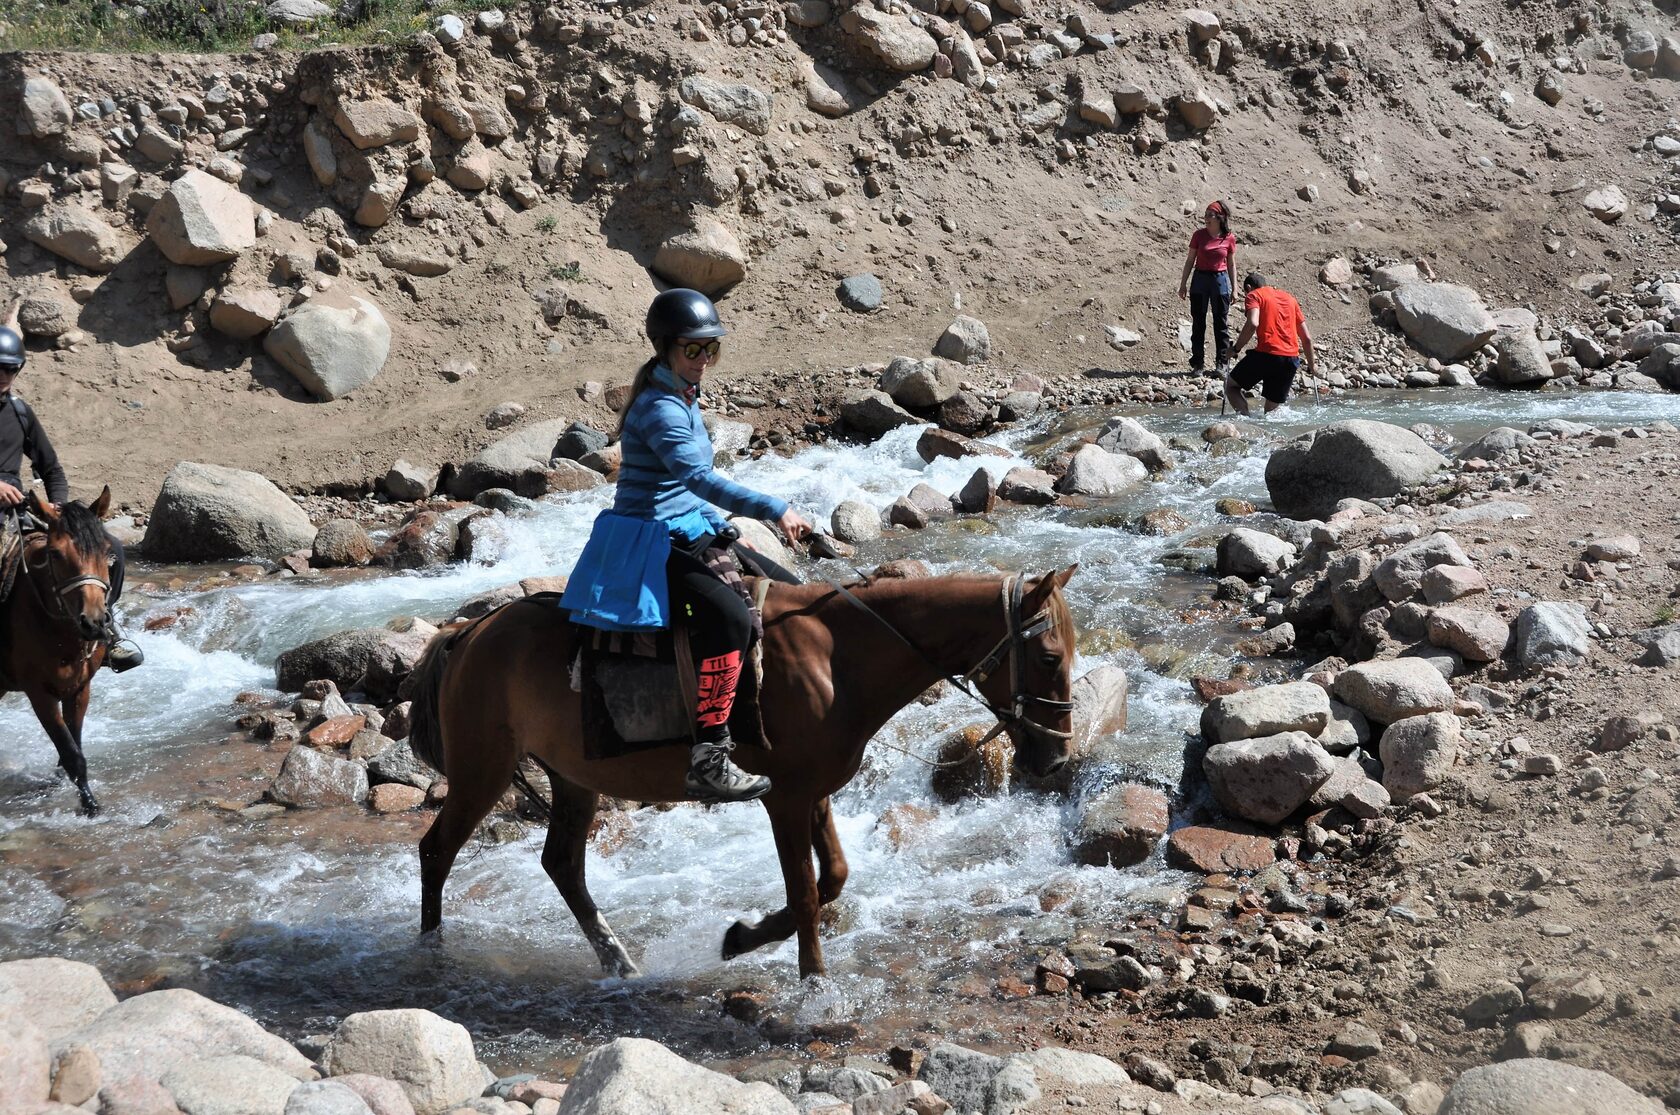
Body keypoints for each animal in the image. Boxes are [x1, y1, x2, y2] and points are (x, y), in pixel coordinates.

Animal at [0, 493, 115, 816]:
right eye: (55, 553)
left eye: (107, 551)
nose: (94, 622)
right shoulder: (40, 693)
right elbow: (72, 753)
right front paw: (90, 806)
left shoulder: (79, 688)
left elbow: (74, 744)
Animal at [406, 567, 1075, 973]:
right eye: (1048, 657)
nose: (1057, 757)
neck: (838, 659)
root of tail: (465, 634)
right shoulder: (785, 798)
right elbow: (805, 893)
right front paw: (814, 984)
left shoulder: (816, 795)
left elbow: (833, 877)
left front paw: (741, 938)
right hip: (483, 770)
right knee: (437, 851)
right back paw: (431, 955)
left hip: (573, 777)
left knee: (562, 865)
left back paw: (620, 962)